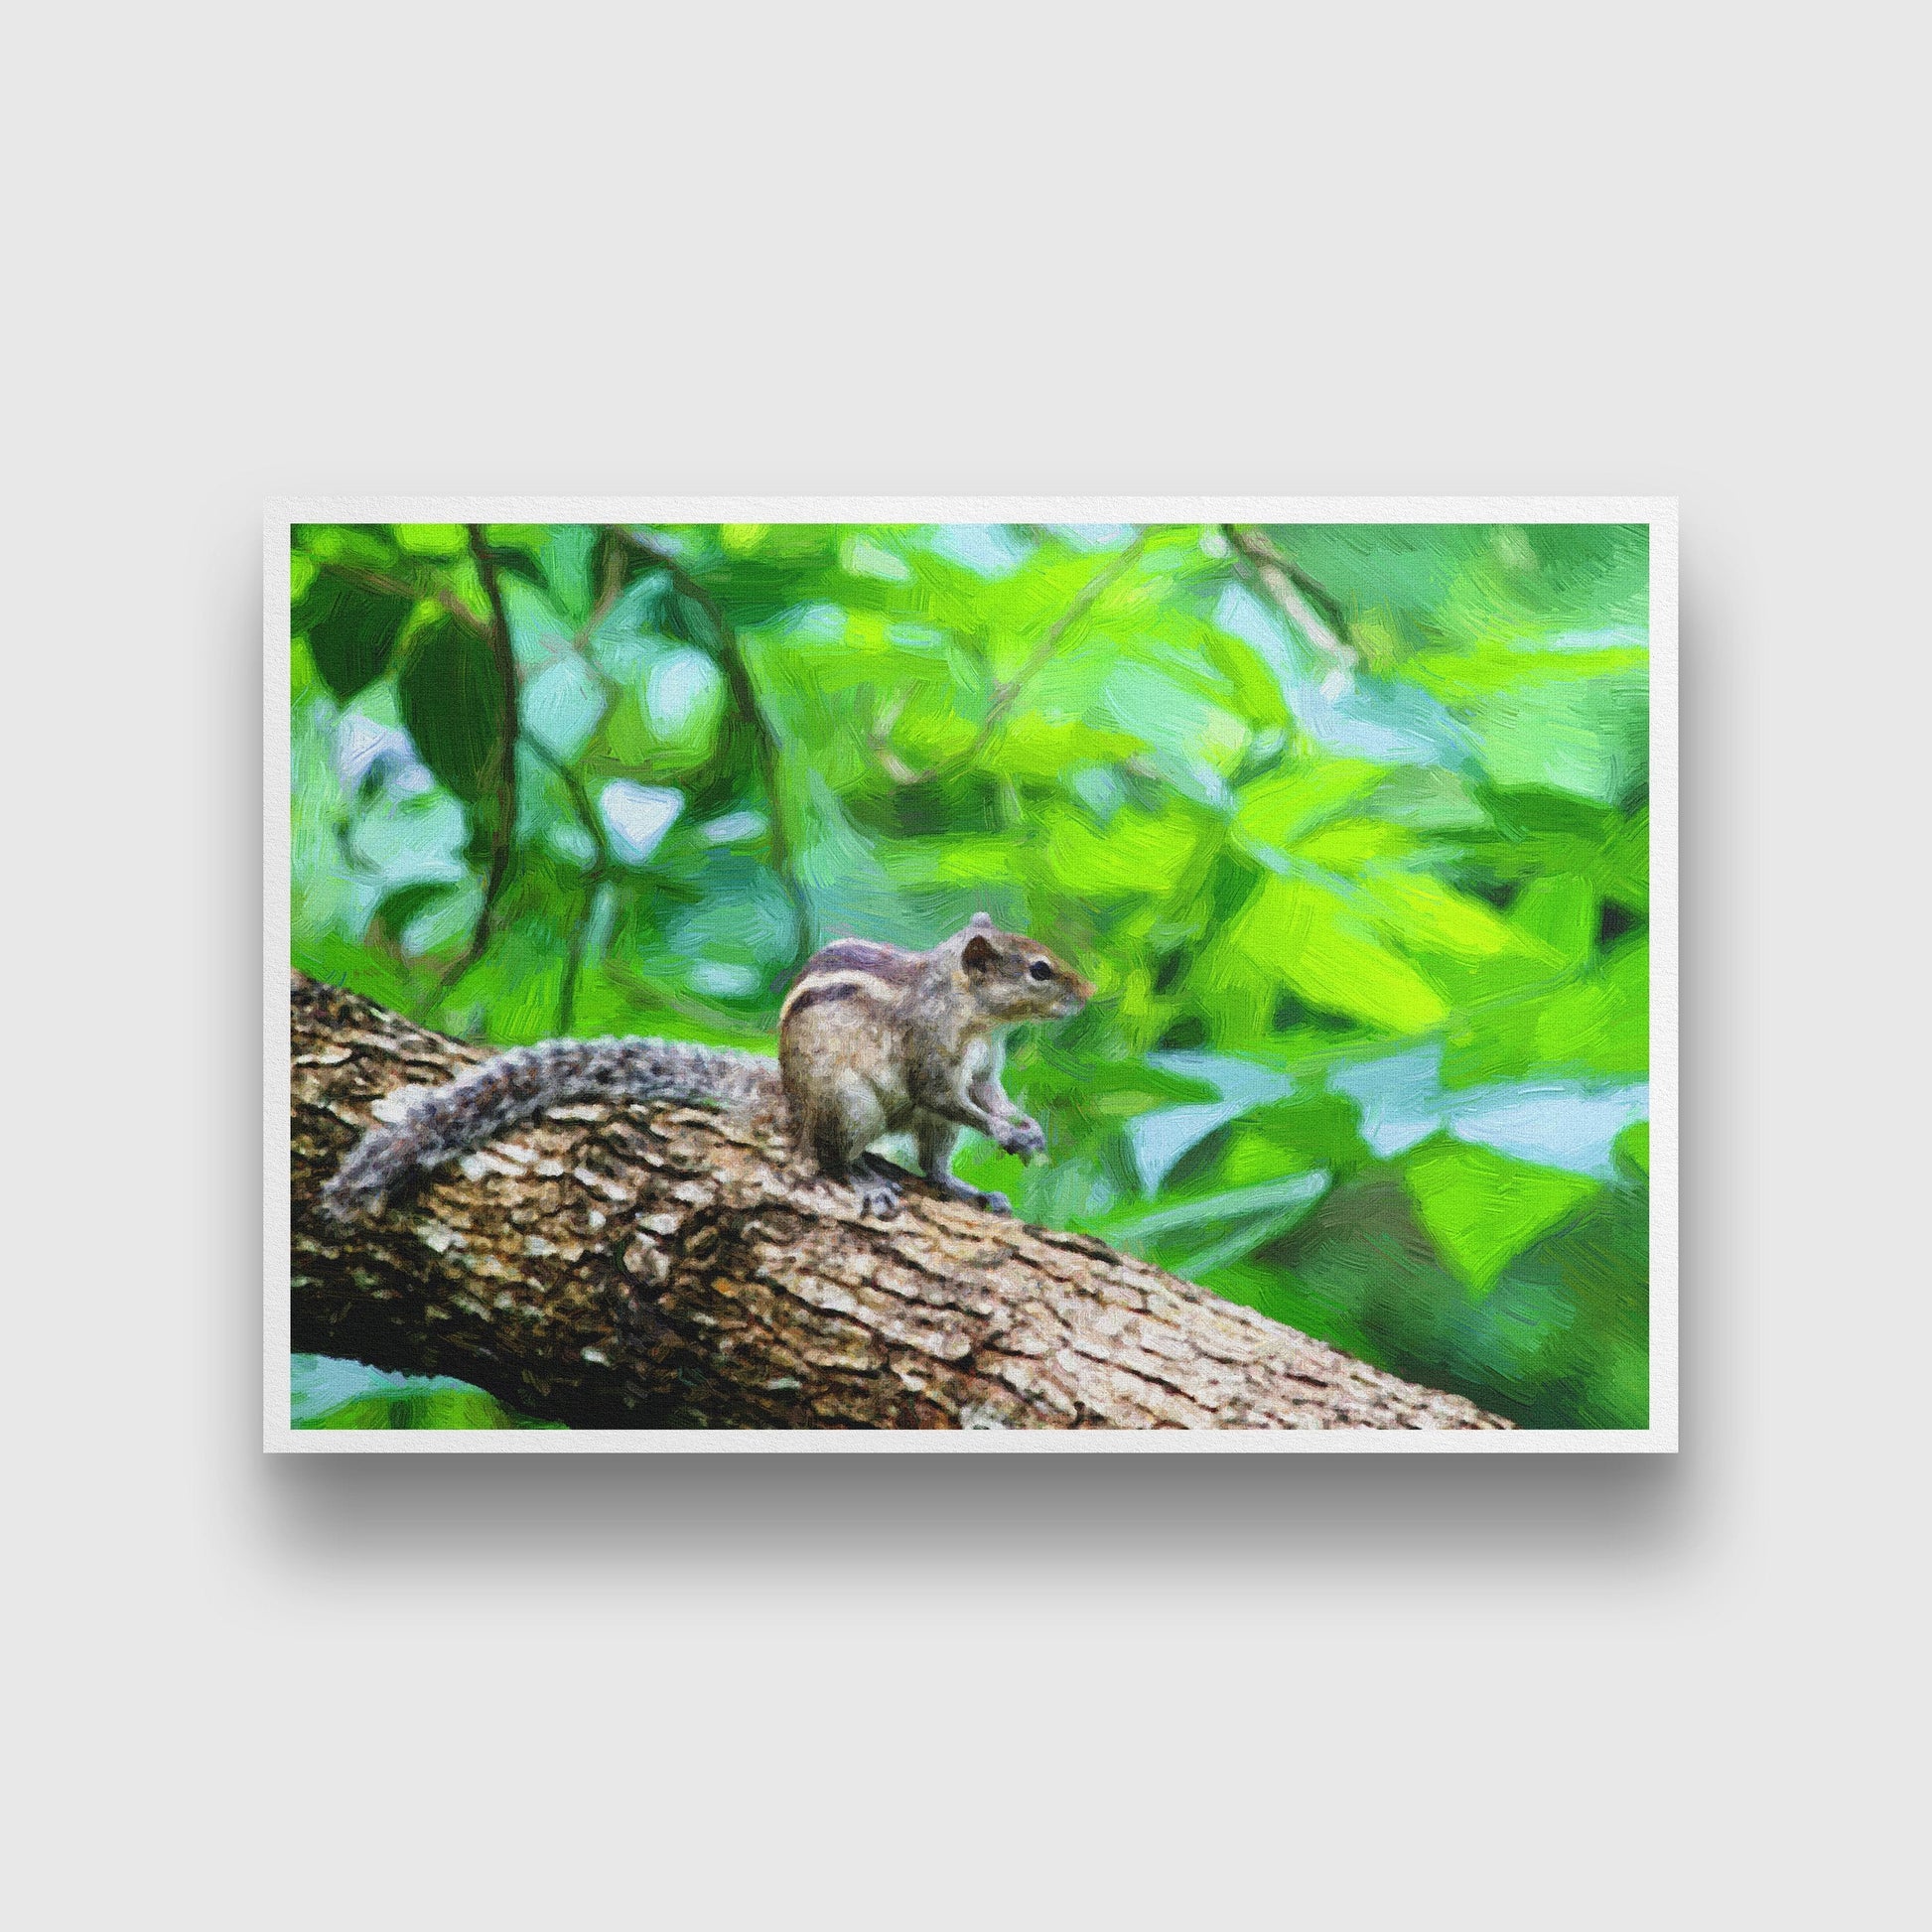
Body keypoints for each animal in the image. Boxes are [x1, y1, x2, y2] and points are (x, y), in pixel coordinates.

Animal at [320, 913, 1092, 1224]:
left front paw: (1024, 1128)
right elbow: (948, 1092)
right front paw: (1013, 1133)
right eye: (1039, 969)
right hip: (846, 1102)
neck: (973, 1012)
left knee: (932, 1161)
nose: (1088, 993)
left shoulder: (982, 1068)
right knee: (826, 1156)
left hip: (915, 1128)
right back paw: (865, 1179)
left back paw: (967, 1190)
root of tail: (792, 1100)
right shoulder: (931, 1056)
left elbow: (985, 1097)